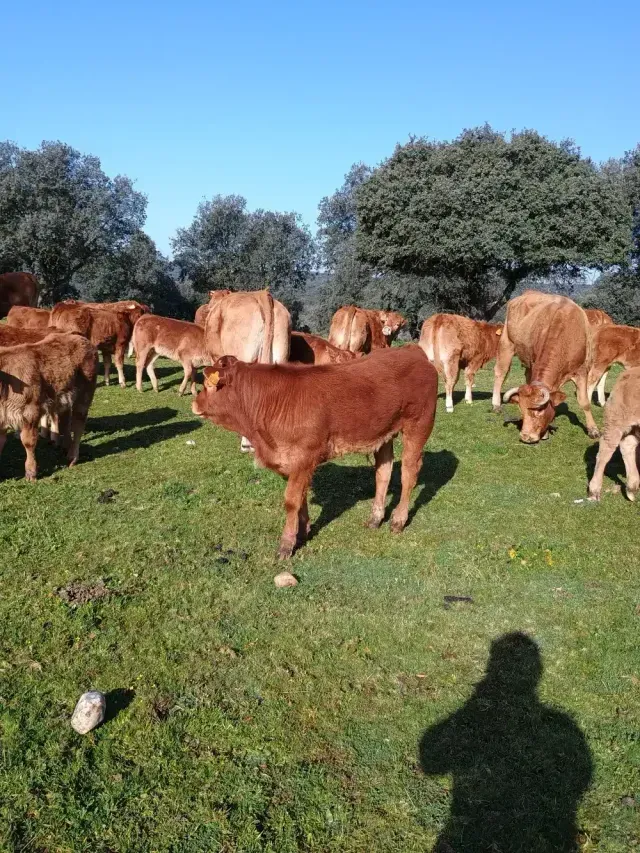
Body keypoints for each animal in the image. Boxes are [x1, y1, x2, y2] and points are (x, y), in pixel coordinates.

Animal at [0, 333, 97, 480]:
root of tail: (78, 337)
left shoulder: (31, 411)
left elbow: (29, 441)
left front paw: (31, 472)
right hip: (64, 398)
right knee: (65, 422)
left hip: (85, 395)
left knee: (78, 425)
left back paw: (73, 457)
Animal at [192, 346, 438, 558]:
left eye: (207, 384)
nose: (195, 404)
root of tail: (412, 350)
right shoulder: (294, 463)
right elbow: (301, 498)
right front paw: (303, 531)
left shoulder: (303, 457)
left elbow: (292, 500)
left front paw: (286, 545)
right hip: (384, 433)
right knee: (383, 472)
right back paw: (375, 518)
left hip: (418, 425)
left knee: (409, 472)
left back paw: (398, 520)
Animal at [493, 291, 599, 443]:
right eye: (522, 410)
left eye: (539, 410)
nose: (526, 436)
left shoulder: (582, 371)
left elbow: (584, 402)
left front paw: (593, 430)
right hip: (506, 343)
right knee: (500, 373)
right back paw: (496, 405)